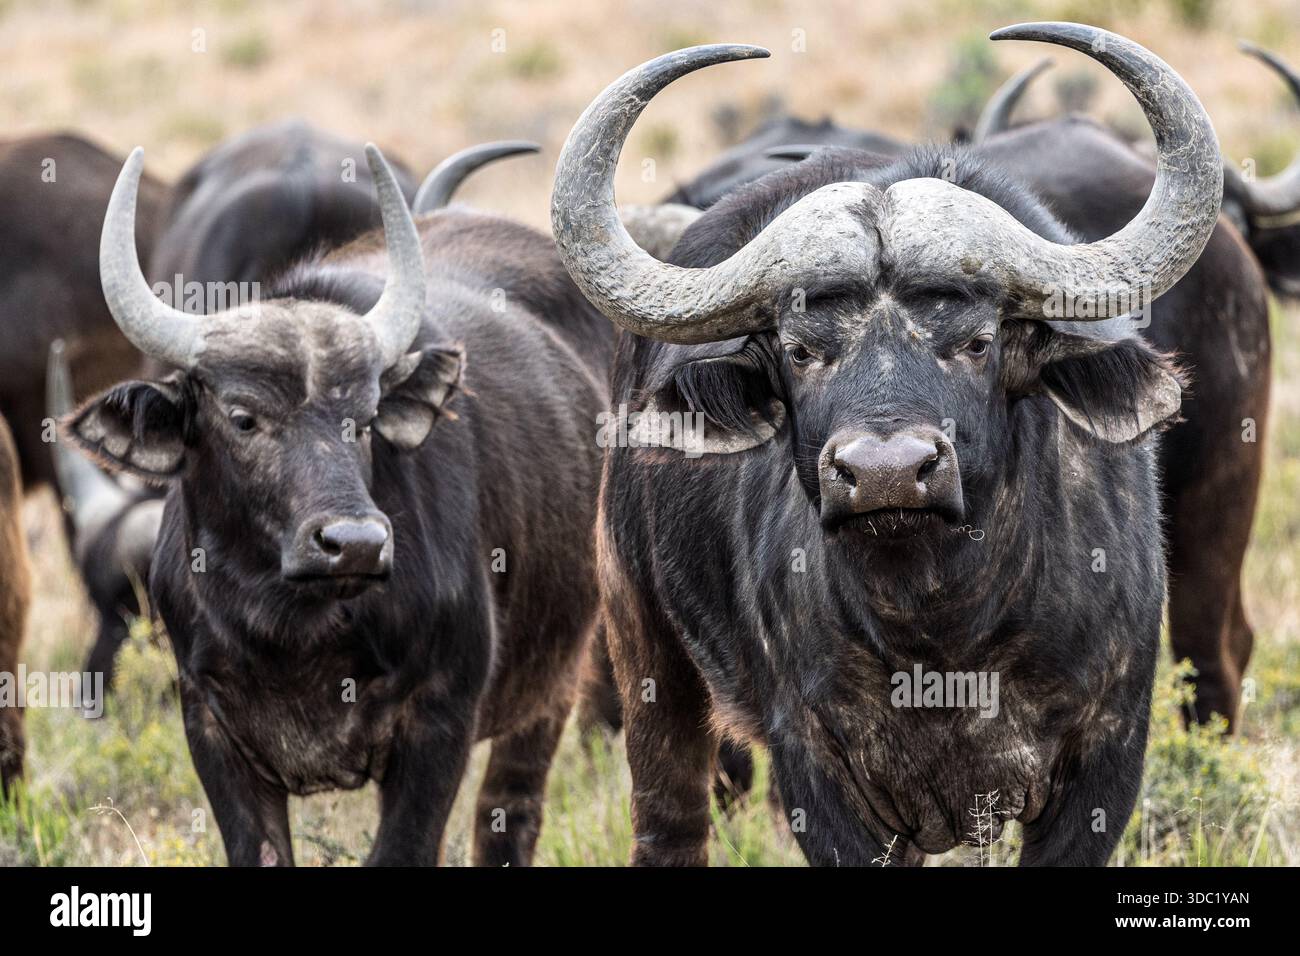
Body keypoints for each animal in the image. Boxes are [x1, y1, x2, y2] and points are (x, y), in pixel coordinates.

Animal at [67, 144, 610, 866]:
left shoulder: (441, 722)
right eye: (243, 418)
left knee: (510, 811)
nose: (354, 543)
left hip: (553, 682)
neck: (294, 631)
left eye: (367, 418)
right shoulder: (207, 725)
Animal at [552, 24, 1222, 865]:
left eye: (977, 342)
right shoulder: (818, 771)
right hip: (645, 655)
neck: (943, 627)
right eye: (800, 350)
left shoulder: (1107, 753)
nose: (886, 474)